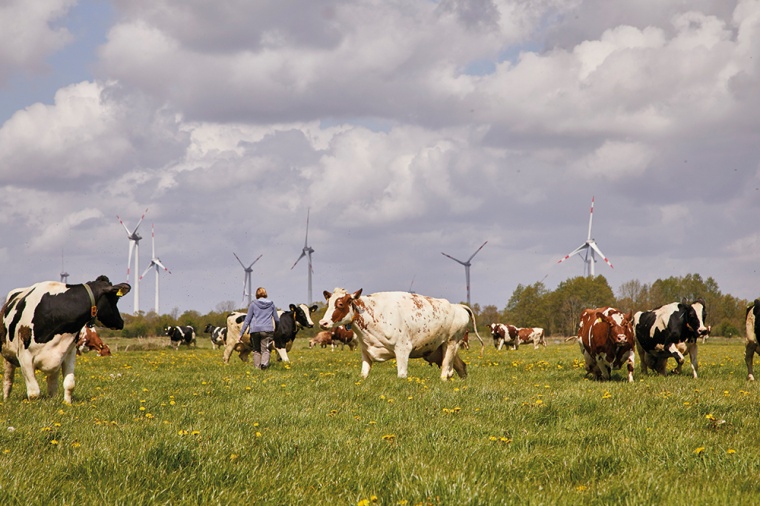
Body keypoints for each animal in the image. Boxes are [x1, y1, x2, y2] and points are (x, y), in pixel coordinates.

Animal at [1, 276, 131, 404]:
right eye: (115, 299)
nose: (121, 322)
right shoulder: (25, 357)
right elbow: (34, 393)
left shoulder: (69, 352)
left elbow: (69, 384)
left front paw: (67, 404)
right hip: (8, 355)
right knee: (8, 379)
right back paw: (6, 399)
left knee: (52, 384)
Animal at [318, 288, 484, 380]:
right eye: (328, 303)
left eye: (340, 304)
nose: (323, 322)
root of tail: (458, 306)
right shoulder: (366, 352)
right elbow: (363, 375)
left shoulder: (402, 349)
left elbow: (402, 375)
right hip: (440, 349)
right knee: (460, 367)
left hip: (451, 343)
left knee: (445, 372)